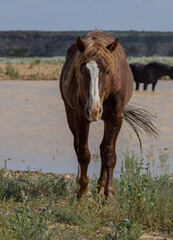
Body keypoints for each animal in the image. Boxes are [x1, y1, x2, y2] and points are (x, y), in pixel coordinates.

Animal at [59, 30, 158, 199]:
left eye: (107, 71)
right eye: (81, 70)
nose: (94, 110)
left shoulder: (115, 117)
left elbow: (109, 154)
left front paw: (109, 194)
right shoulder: (80, 117)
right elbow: (83, 153)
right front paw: (84, 191)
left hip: (106, 118)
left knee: (102, 148)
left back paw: (101, 187)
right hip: (70, 113)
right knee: (78, 145)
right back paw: (80, 187)